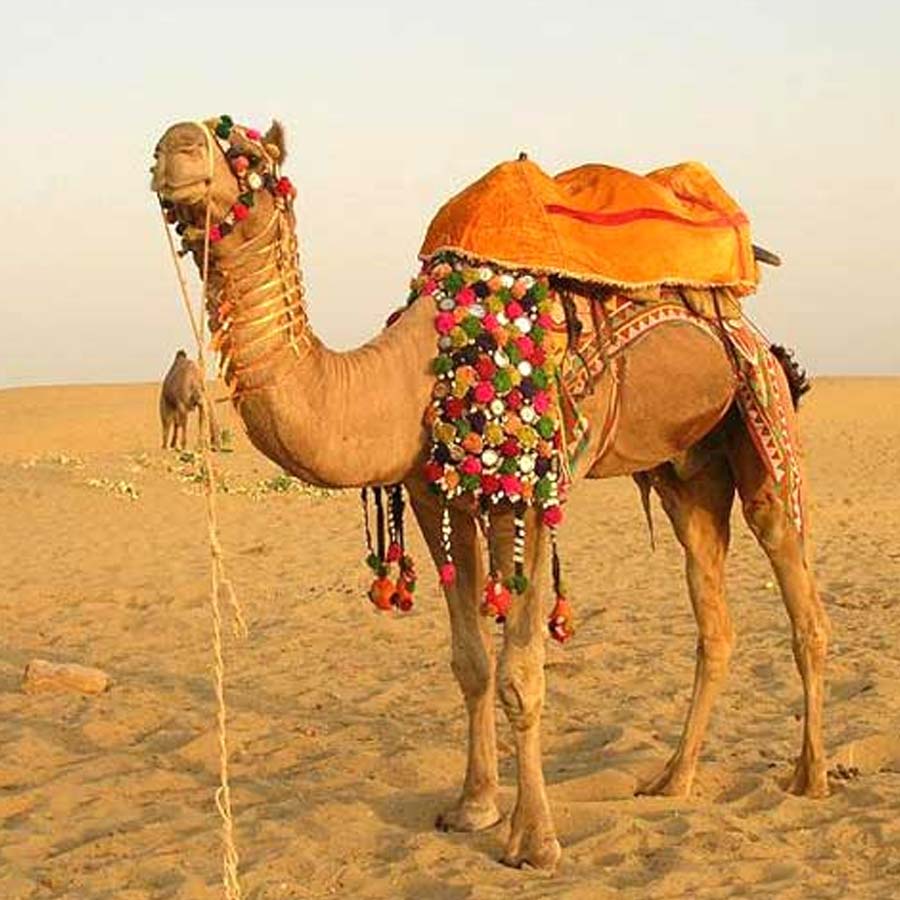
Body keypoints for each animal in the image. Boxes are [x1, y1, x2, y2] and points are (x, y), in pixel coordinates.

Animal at [150, 119, 830, 870]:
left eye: (250, 159)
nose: (175, 144)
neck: (416, 372)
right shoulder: (434, 496)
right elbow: (471, 662)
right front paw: (473, 806)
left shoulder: (530, 491)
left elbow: (520, 673)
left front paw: (533, 841)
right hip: (687, 473)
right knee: (715, 619)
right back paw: (673, 779)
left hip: (763, 419)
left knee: (800, 598)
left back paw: (812, 775)